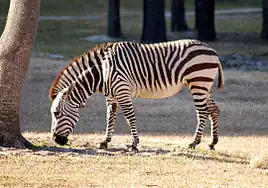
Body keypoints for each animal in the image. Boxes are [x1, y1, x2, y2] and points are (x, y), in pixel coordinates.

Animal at [49, 39, 224, 152]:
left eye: (56, 113)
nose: (56, 140)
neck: (102, 73)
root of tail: (213, 51)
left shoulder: (122, 91)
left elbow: (129, 117)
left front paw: (134, 144)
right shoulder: (111, 96)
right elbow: (110, 117)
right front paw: (105, 141)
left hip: (198, 83)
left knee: (203, 112)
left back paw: (194, 142)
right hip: (203, 86)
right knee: (214, 109)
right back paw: (213, 142)